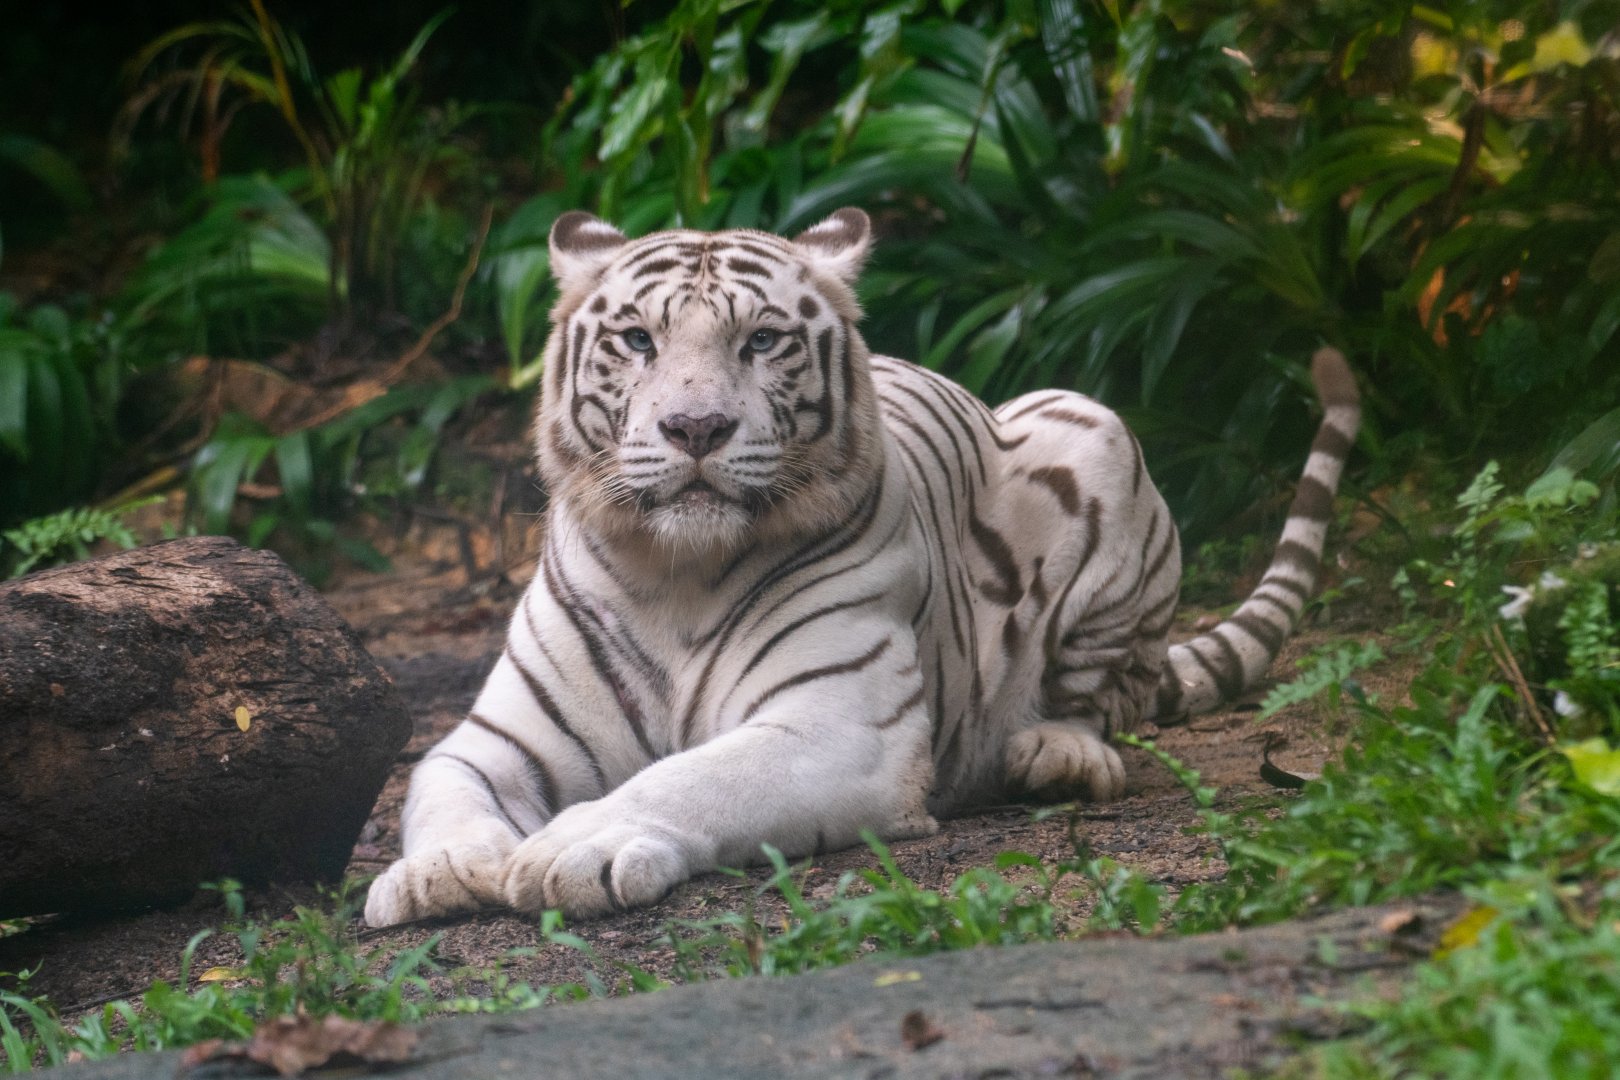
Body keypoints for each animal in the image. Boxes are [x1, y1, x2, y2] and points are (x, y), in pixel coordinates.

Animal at [363, 207, 1361, 927]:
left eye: (761, 341)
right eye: (639, 340)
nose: (695, 428)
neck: (674, 573)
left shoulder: (839, 727)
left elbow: (689, 778)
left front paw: (573, 849)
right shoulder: (495, 739)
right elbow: (439, 790)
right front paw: (442, 872)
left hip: (1092, 428)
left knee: (1105, 702)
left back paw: (1054, 754)